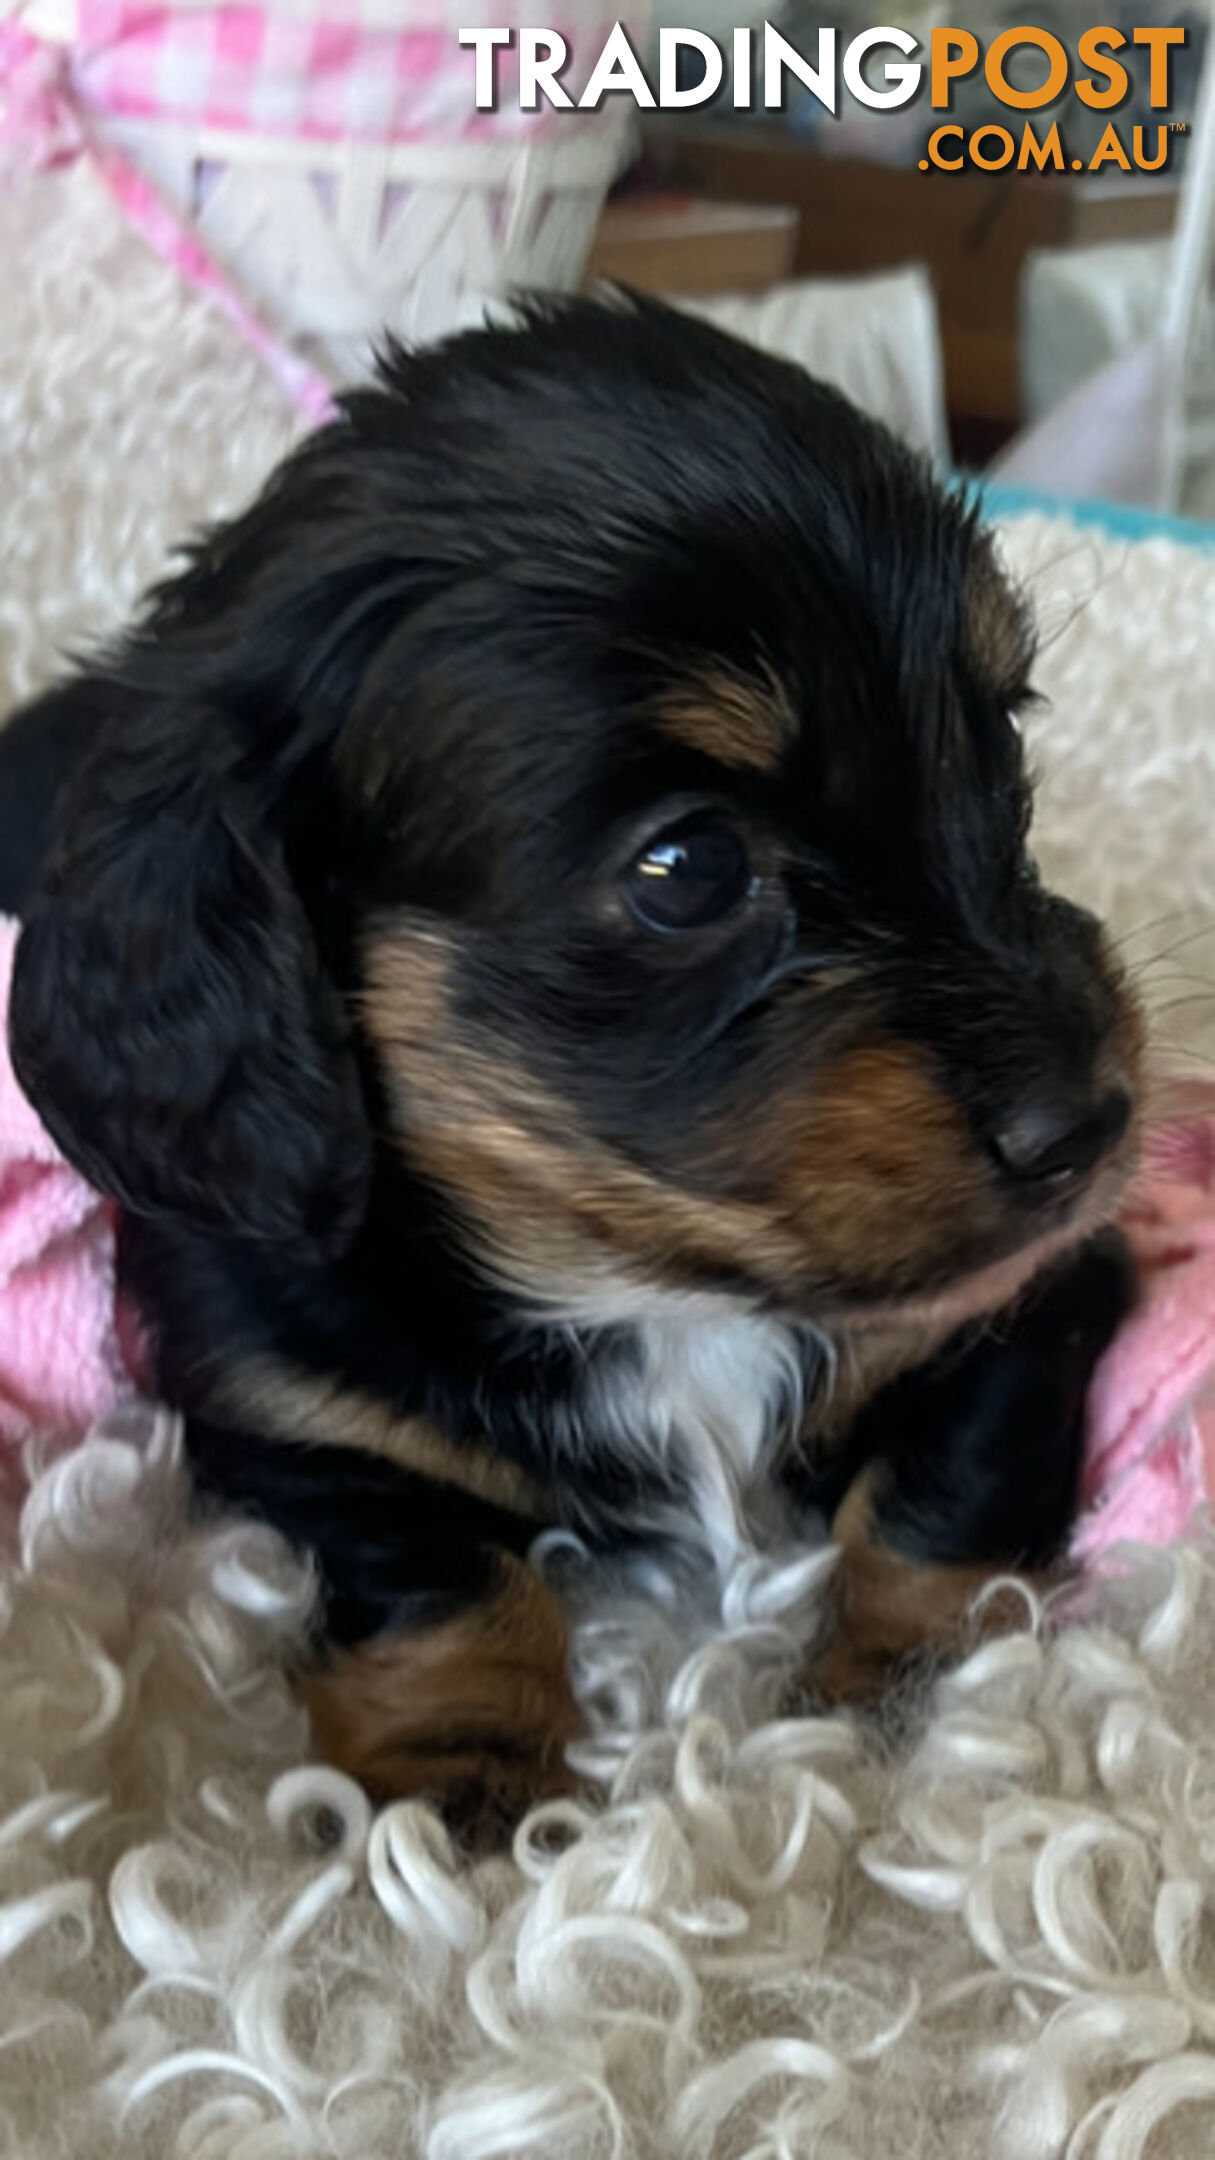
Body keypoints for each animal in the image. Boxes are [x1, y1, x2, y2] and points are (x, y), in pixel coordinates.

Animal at [0, 295, 1132, 1831]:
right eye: (689, 866)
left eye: (1000, 733)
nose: (1090, 1123)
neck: (638, 1277)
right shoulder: (279, 1395)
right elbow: (432, 1568)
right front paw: (460, 1777)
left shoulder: (1028, 1296)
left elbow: (941, 1492)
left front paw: (914, 1703)